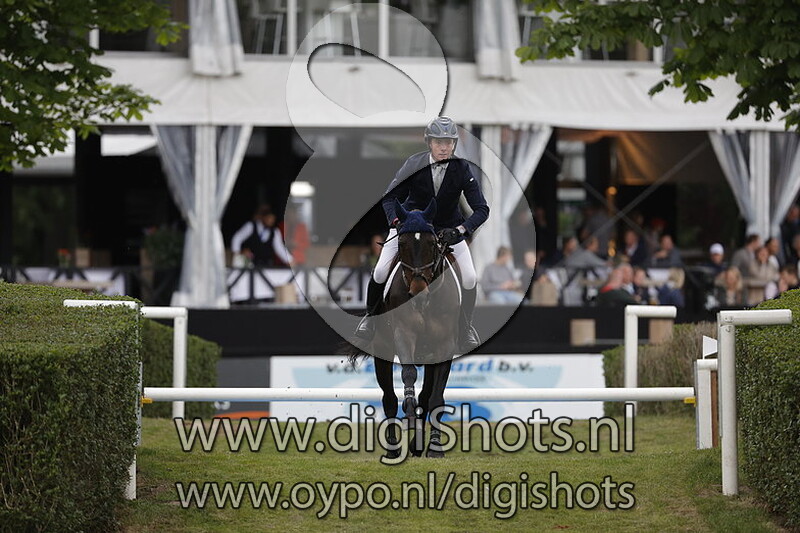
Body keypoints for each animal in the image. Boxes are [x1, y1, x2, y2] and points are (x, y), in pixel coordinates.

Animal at [349, 198, 462, 458]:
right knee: (388, 398)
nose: (418, 294)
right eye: (401, 244)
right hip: (382, 348)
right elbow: (408, 374)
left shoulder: (444, 346)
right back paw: (393, 448)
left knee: (426, 396)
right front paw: (408, 407)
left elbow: (436, 398)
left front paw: (435, 447)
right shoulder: (403, 334)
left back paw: (418, 444)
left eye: (432, 243)